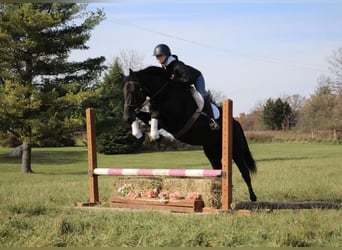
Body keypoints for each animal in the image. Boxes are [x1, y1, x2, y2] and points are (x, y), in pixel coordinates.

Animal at [123, 66, 256, 201]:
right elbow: (143, 115)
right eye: (124, 91)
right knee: (218, 171)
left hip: (236, 152)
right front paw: (139, 133)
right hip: (212, 152)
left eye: (135, 91)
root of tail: (235, 122)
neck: (165, 93)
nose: (126, 117)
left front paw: (156, 137)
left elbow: (155, 115)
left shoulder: (174, 121)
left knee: (245, 173)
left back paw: (253, 198)